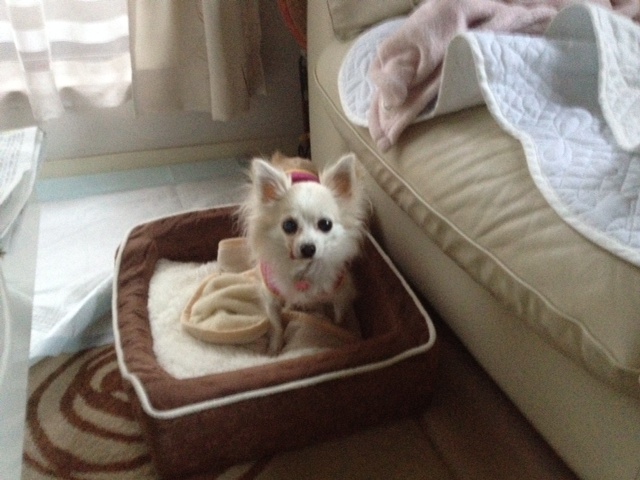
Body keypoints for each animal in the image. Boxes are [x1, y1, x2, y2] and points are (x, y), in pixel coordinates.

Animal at [239, 152, 369, 354]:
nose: (308, 248)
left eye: (326, 224)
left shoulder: (341, 291)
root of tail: (293, 158)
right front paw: (275, 346)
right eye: (289, 225)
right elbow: (276, 323)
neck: (303, 269)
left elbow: (339, 316)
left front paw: (339, 333)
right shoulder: (270, 295)